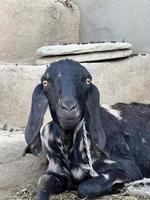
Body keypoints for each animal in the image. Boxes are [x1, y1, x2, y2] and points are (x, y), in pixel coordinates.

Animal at [24, 59, 150, 200]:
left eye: (87, 81)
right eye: (45, 82)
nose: (69, 108)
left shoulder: (129, 168)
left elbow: (84, 188)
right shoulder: (57, 171)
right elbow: (43, 182)